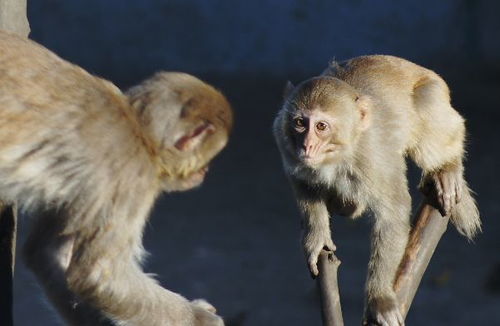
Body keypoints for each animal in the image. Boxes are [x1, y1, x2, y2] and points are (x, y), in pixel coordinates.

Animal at [0, 30, 232, 326]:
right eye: (207, 159)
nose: (205, 171)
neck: (138, 129)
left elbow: (46, 252)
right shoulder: (133, 175)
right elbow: (99, 274)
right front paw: (199, 319)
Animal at [274, 55, 480, 326]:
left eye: (321, 126)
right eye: (300, 123)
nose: (307, 145)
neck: (338, 154)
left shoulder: (373, 157)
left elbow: (393, 213)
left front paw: (379, 299)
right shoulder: (284, 139)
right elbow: (302, 182)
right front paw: (316, 237)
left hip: (436, 97)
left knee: (428, 114)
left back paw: (446, 168)